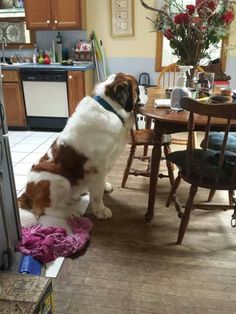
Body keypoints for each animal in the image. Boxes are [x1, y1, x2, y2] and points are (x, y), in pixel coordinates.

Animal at [18, 72, 148, 218]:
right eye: (137, 88)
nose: (146, 88)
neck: (109, 109)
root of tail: (26, 194)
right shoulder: (99, 166)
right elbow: (97, 193)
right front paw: (100, 210)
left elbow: (101, 183)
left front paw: (105, 187)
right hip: (60, 180)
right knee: (45, 208)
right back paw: (69, 213)